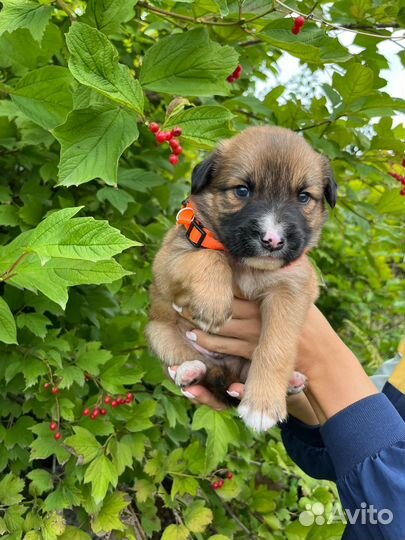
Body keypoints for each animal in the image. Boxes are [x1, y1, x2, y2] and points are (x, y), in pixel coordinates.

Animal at [145, 125, 334, 430]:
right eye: (242, 190)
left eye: (304, 197)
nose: (272, 240)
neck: (249, 267)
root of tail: (228, 370)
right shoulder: (167, 260)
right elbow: (211, 256)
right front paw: (213, 304)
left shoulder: (293, 287)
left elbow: (276, 347)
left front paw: (262, 404)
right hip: (158, 331)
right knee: (199, 367)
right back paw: (189, 371)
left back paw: (290, 383)